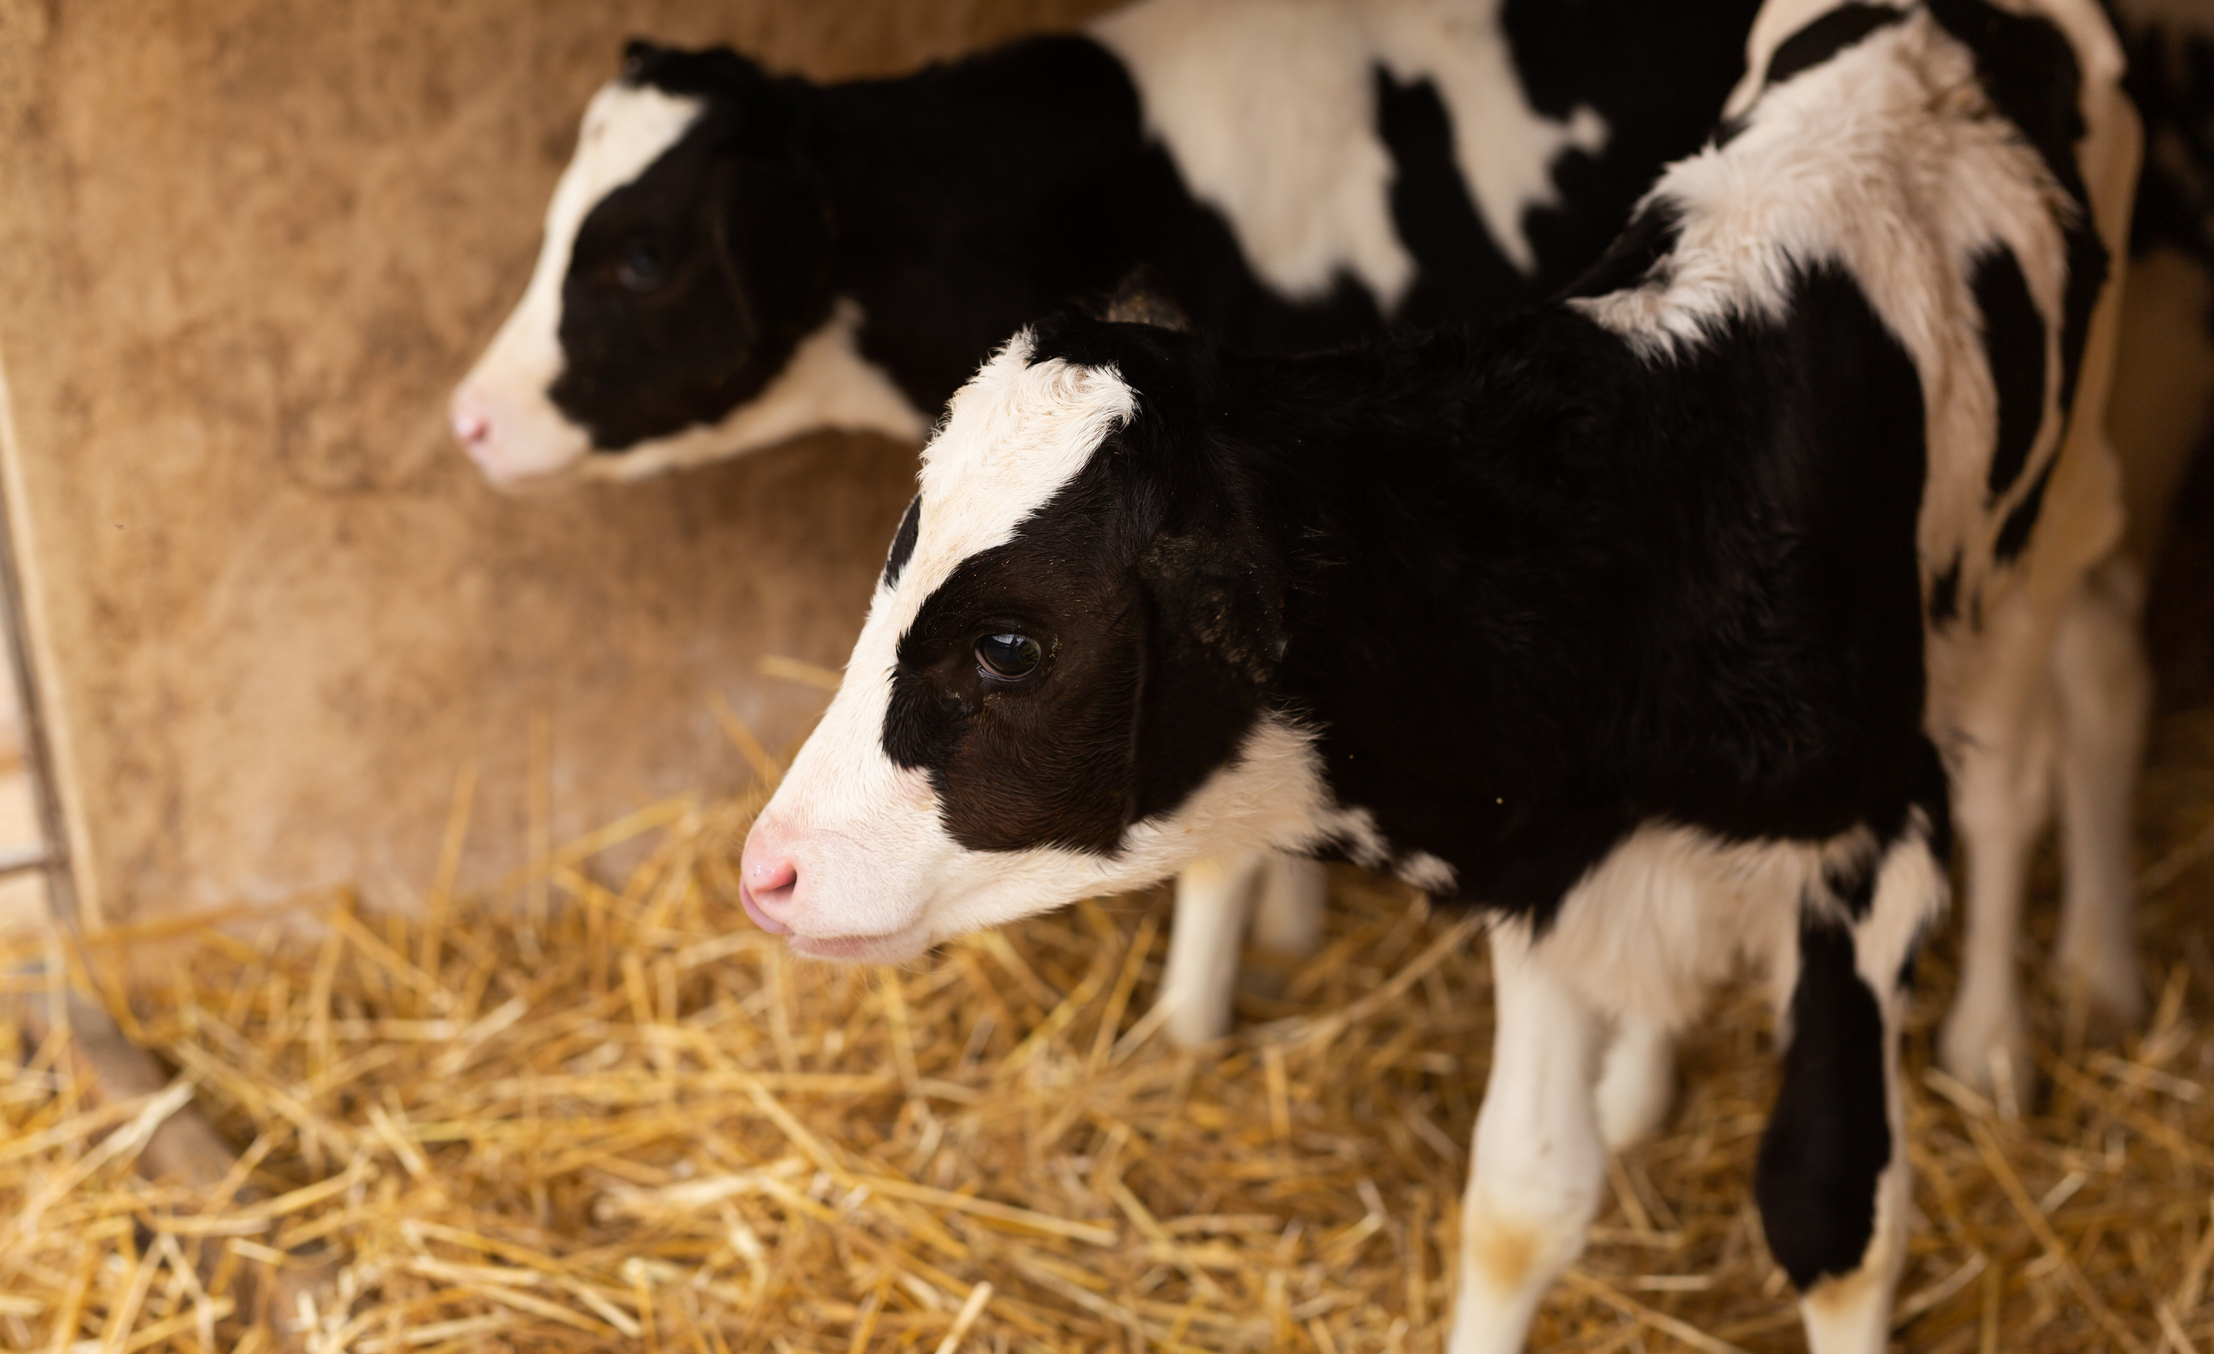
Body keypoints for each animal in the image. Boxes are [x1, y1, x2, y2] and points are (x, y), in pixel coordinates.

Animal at [734, 1, 2137, 1348]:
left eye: (1010, 646)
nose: (766, 868)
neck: (1658, 511)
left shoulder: (1871, 850)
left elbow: (1833, 1217)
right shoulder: (1547, 861)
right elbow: (1521, 1201)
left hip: (2049, 526)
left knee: (2022, 764)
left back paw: (1997, 1042)